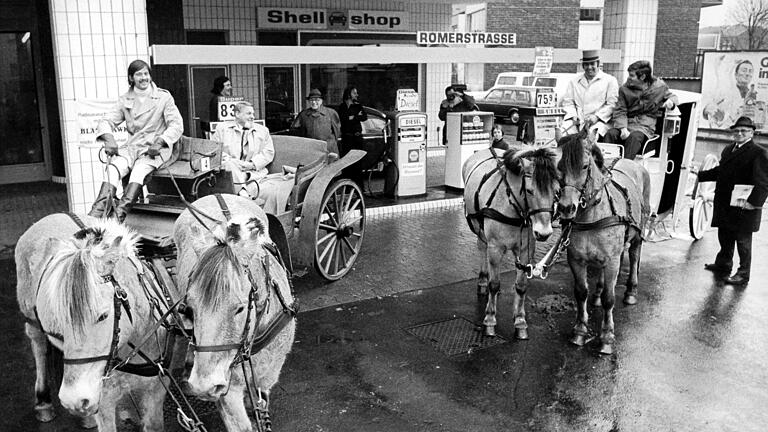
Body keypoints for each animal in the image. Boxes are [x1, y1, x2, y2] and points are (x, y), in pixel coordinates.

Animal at [14, 216, 171, 432]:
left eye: (103, 316)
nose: (73, 400)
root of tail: (49, 217)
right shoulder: (104, 400)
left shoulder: (157, 389)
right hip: (32, 319)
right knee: (38, 346)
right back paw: (43, 402)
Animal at [175, 196, 296, 432]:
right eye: (189, 309)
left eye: (240, 308)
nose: (203, 386)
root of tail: (214, 195)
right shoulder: (227, 386)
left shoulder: (268, 374)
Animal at [462, 147, 560, 340]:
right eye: (529, 190)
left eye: (556, 190)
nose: (544, 233)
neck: (513, 205)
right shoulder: (495, 248)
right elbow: (494, 283)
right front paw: (490, 319)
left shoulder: (526, 249)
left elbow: (521, 286)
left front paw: (520, 321)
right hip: (479, 229)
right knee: (482, 248)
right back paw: (483, 280)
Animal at [556, 131, 652, 354]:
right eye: (559, 166)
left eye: (584, 166)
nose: (566, 208)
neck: (592, 214)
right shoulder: (576, 259)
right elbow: (581, 292)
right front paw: (580, 330)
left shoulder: (613, 262)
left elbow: (610, 299)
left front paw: (607, 336)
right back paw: (598, 294)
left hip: (637, 234)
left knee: (634, 257)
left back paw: (631, 291)